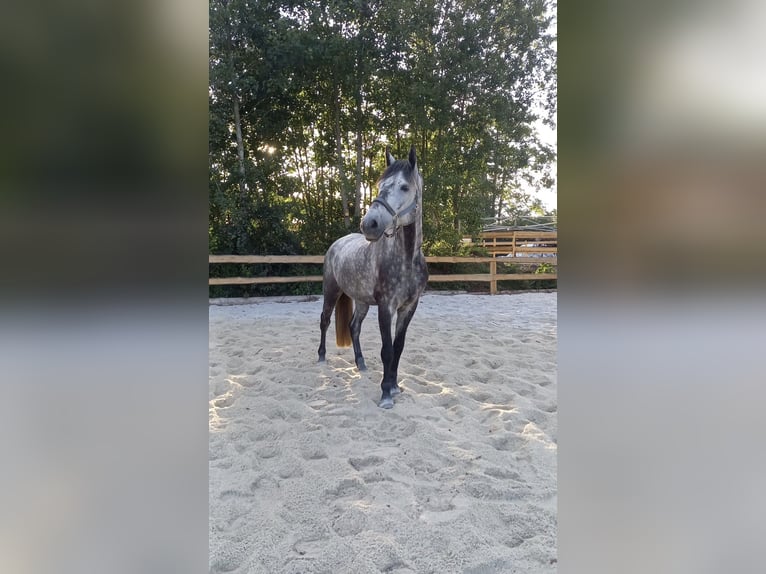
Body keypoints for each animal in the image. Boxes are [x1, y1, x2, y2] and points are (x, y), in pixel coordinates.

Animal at [317, 145, 428, 409]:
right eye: (380, 185)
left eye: (404, 187)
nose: (369, 224)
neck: (406, 260)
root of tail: (337, 244)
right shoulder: (386, 307)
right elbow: (386, 350)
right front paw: (386, 394)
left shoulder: (409, 307)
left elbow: (398, 347)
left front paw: (395, 387)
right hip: (331, 291)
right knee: (324, 321)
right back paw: (321, 357)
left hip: (361, 301)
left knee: (353, 327)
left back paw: (361, 363)